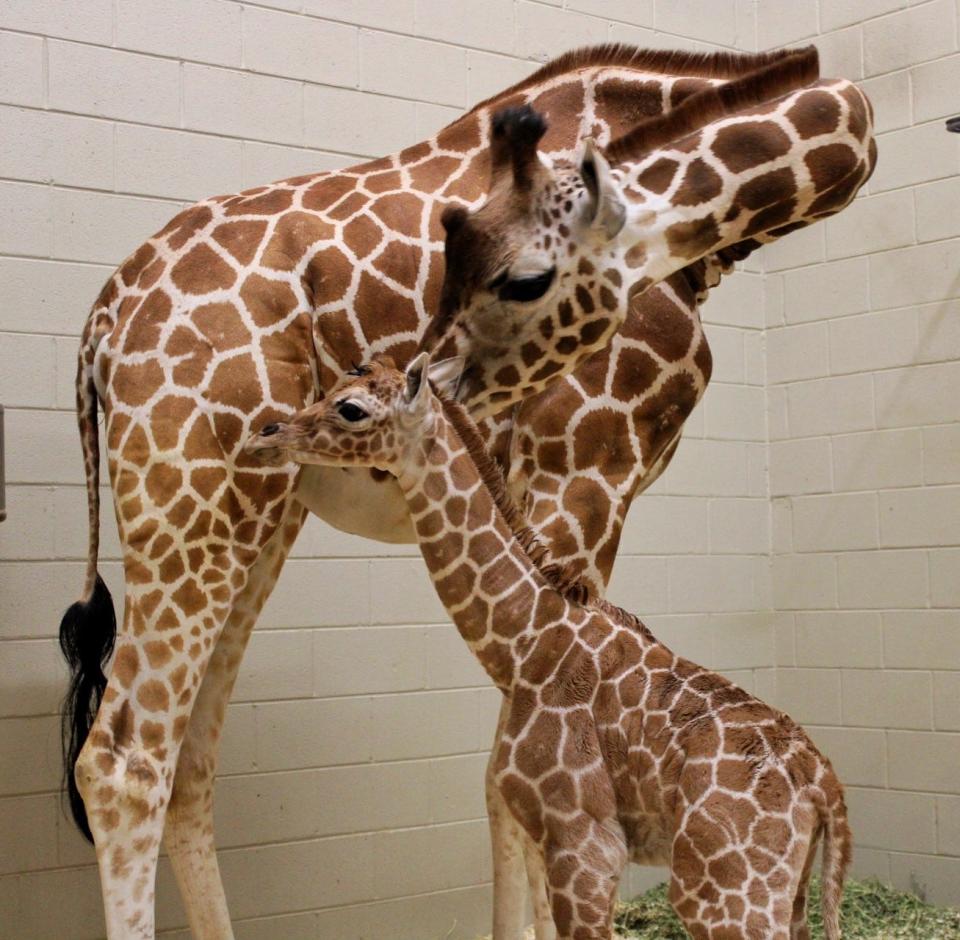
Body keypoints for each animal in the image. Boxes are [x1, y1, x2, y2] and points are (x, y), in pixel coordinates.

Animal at [244, 354, 852, 940]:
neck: (522, 644)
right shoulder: (545, 834)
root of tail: (826, 788)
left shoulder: (584, 839)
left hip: (722, 887)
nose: (266, 433)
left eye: (349, 408)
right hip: (788, 889)